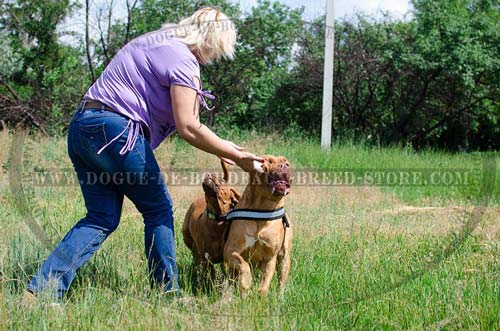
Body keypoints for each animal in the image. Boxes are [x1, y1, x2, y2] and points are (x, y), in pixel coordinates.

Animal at [224, 157, 292, 296]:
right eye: (269, 161)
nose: (284, 166)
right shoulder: (230, 250)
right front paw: (246, 282)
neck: (263, 209)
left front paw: (261, 295)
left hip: (285, 258)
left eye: (287, 163)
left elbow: (265, 283)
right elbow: (243, 264)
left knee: (282, 280)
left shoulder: (270, 257)